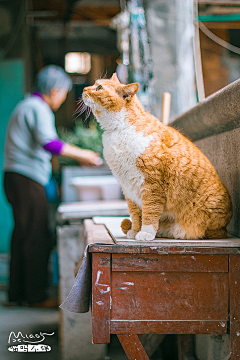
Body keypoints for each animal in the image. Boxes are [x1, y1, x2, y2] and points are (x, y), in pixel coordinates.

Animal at [82, 73, 232, 240]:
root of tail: (226, 227)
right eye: (94, 85)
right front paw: (135, 231)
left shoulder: (152, 185)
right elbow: (135, 214)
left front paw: (145, 233)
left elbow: (150, 211)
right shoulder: (128, 188)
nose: (84, 89)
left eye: (99, 88)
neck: (119, 130)